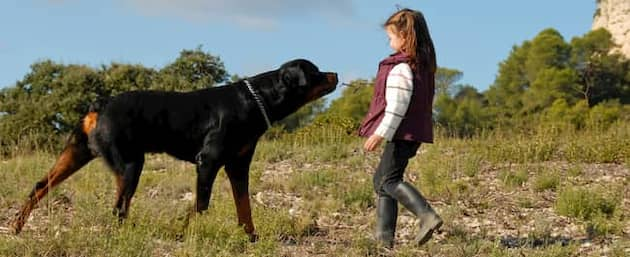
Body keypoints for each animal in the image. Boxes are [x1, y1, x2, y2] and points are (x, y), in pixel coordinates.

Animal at [11, 58, 336, 240]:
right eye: (316, 72)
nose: (334, 74)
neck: (258, 99)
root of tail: (100, 104)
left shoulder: (238, 166)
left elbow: (244, 206)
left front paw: (251, 237)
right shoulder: (208, 162)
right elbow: (201, 205)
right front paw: (182, 232)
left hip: (77, 154)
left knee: (40, 187)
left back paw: (16, 227)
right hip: (131, 165)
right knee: (118, 208)